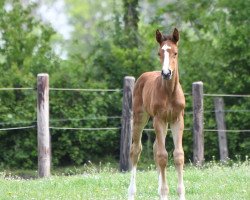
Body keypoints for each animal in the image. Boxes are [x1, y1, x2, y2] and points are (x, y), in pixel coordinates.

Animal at [129, 28, 186, 200]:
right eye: (159, 53)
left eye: (175, 53)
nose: (166, 73)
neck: (169, 93)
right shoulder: (159, 120)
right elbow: (162, 156)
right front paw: (164, 193)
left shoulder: (177, 120)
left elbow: (178, 155)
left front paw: (179, 193)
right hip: (140, 117)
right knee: (135, 150)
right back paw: (131, 193)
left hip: (165, 123)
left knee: (154, 148)